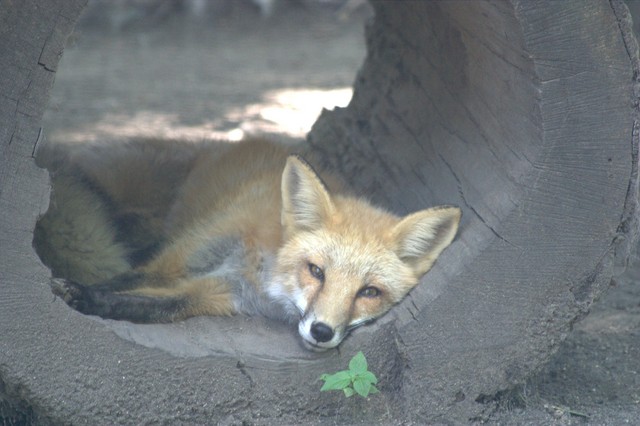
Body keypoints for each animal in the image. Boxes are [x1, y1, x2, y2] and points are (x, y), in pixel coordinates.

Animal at [40, 138, 461, 350]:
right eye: (316, 271)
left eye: (369, 292)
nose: (322, 332)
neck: (260, 272)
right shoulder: (179, 259)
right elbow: (121, 281)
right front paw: (74, 290)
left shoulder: (218, 294)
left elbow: (149, 306)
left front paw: (88, 300)